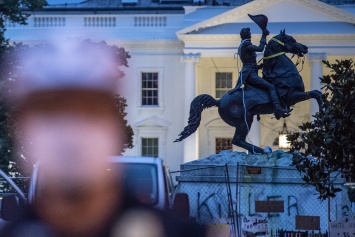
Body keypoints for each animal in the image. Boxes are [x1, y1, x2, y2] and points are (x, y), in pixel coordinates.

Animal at [174, 29, 324, 154]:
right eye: (291, 39)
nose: (305, 48)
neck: (282, 73)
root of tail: (219, 101)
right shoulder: (292, 96)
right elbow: (315, 93)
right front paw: (322, 112)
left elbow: (318, 92)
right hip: (246, 118)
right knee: (237, 140)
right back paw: (263, 151)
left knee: (239, 140)